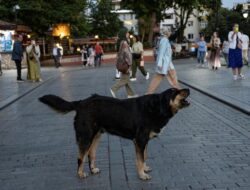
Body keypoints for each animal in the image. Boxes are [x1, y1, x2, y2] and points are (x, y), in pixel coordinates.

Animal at [39, 87, 189, 180]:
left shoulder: (144, 141)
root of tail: (81, 103)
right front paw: (142, 175)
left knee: (91, 155)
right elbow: (140, 159)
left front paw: (145, 169)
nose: (188, 89)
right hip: (86, 137)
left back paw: (93, 169)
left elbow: (144, 156)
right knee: (80, 157)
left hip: (96, 136)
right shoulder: (140, 140)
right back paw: (81, 174)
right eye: (174, 92)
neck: (156, 108)